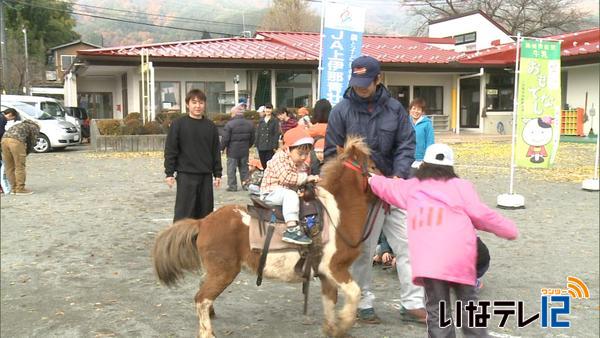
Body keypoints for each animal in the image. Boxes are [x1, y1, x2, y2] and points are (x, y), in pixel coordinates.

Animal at [151, 136, 376, 338]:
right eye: (373, 166)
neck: (336, 215)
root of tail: (203, 222)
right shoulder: (335, 268)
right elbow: (354, 293)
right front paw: (344, 323)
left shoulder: (325, 274)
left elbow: (330, 301)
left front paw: (333, 329)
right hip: (223, 273)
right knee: (201, 298)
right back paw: (207, 333)